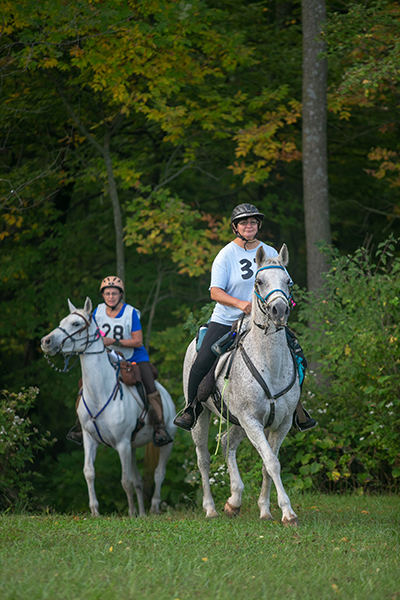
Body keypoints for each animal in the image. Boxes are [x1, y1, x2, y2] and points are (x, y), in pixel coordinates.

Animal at [41, 298, 177, 516]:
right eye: (63, 321)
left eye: (76, 324)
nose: (46, 342)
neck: (100, 392)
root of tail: (165, 393)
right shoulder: (90, 439)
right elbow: (89, 472)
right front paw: (95, 512)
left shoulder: (121, 443)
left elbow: (125, 481)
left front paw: (130, 514)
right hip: (132, 446)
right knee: (139, 481)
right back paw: (143, 513)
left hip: (166, 442)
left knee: (158, 474)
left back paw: (154, 508)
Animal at [183, 244, 302, 524]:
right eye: (259, 281)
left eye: (288, 281)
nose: (279, 311)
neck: (270, 365)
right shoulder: (251, 420)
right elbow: (271, 462)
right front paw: (288, 513)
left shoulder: (280, 423)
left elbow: (269, 464)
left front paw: (265, 510)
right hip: (202, 416)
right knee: (203, 459)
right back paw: (211, 508)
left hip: (236, 420)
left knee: (227, 442)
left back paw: (234, 501)